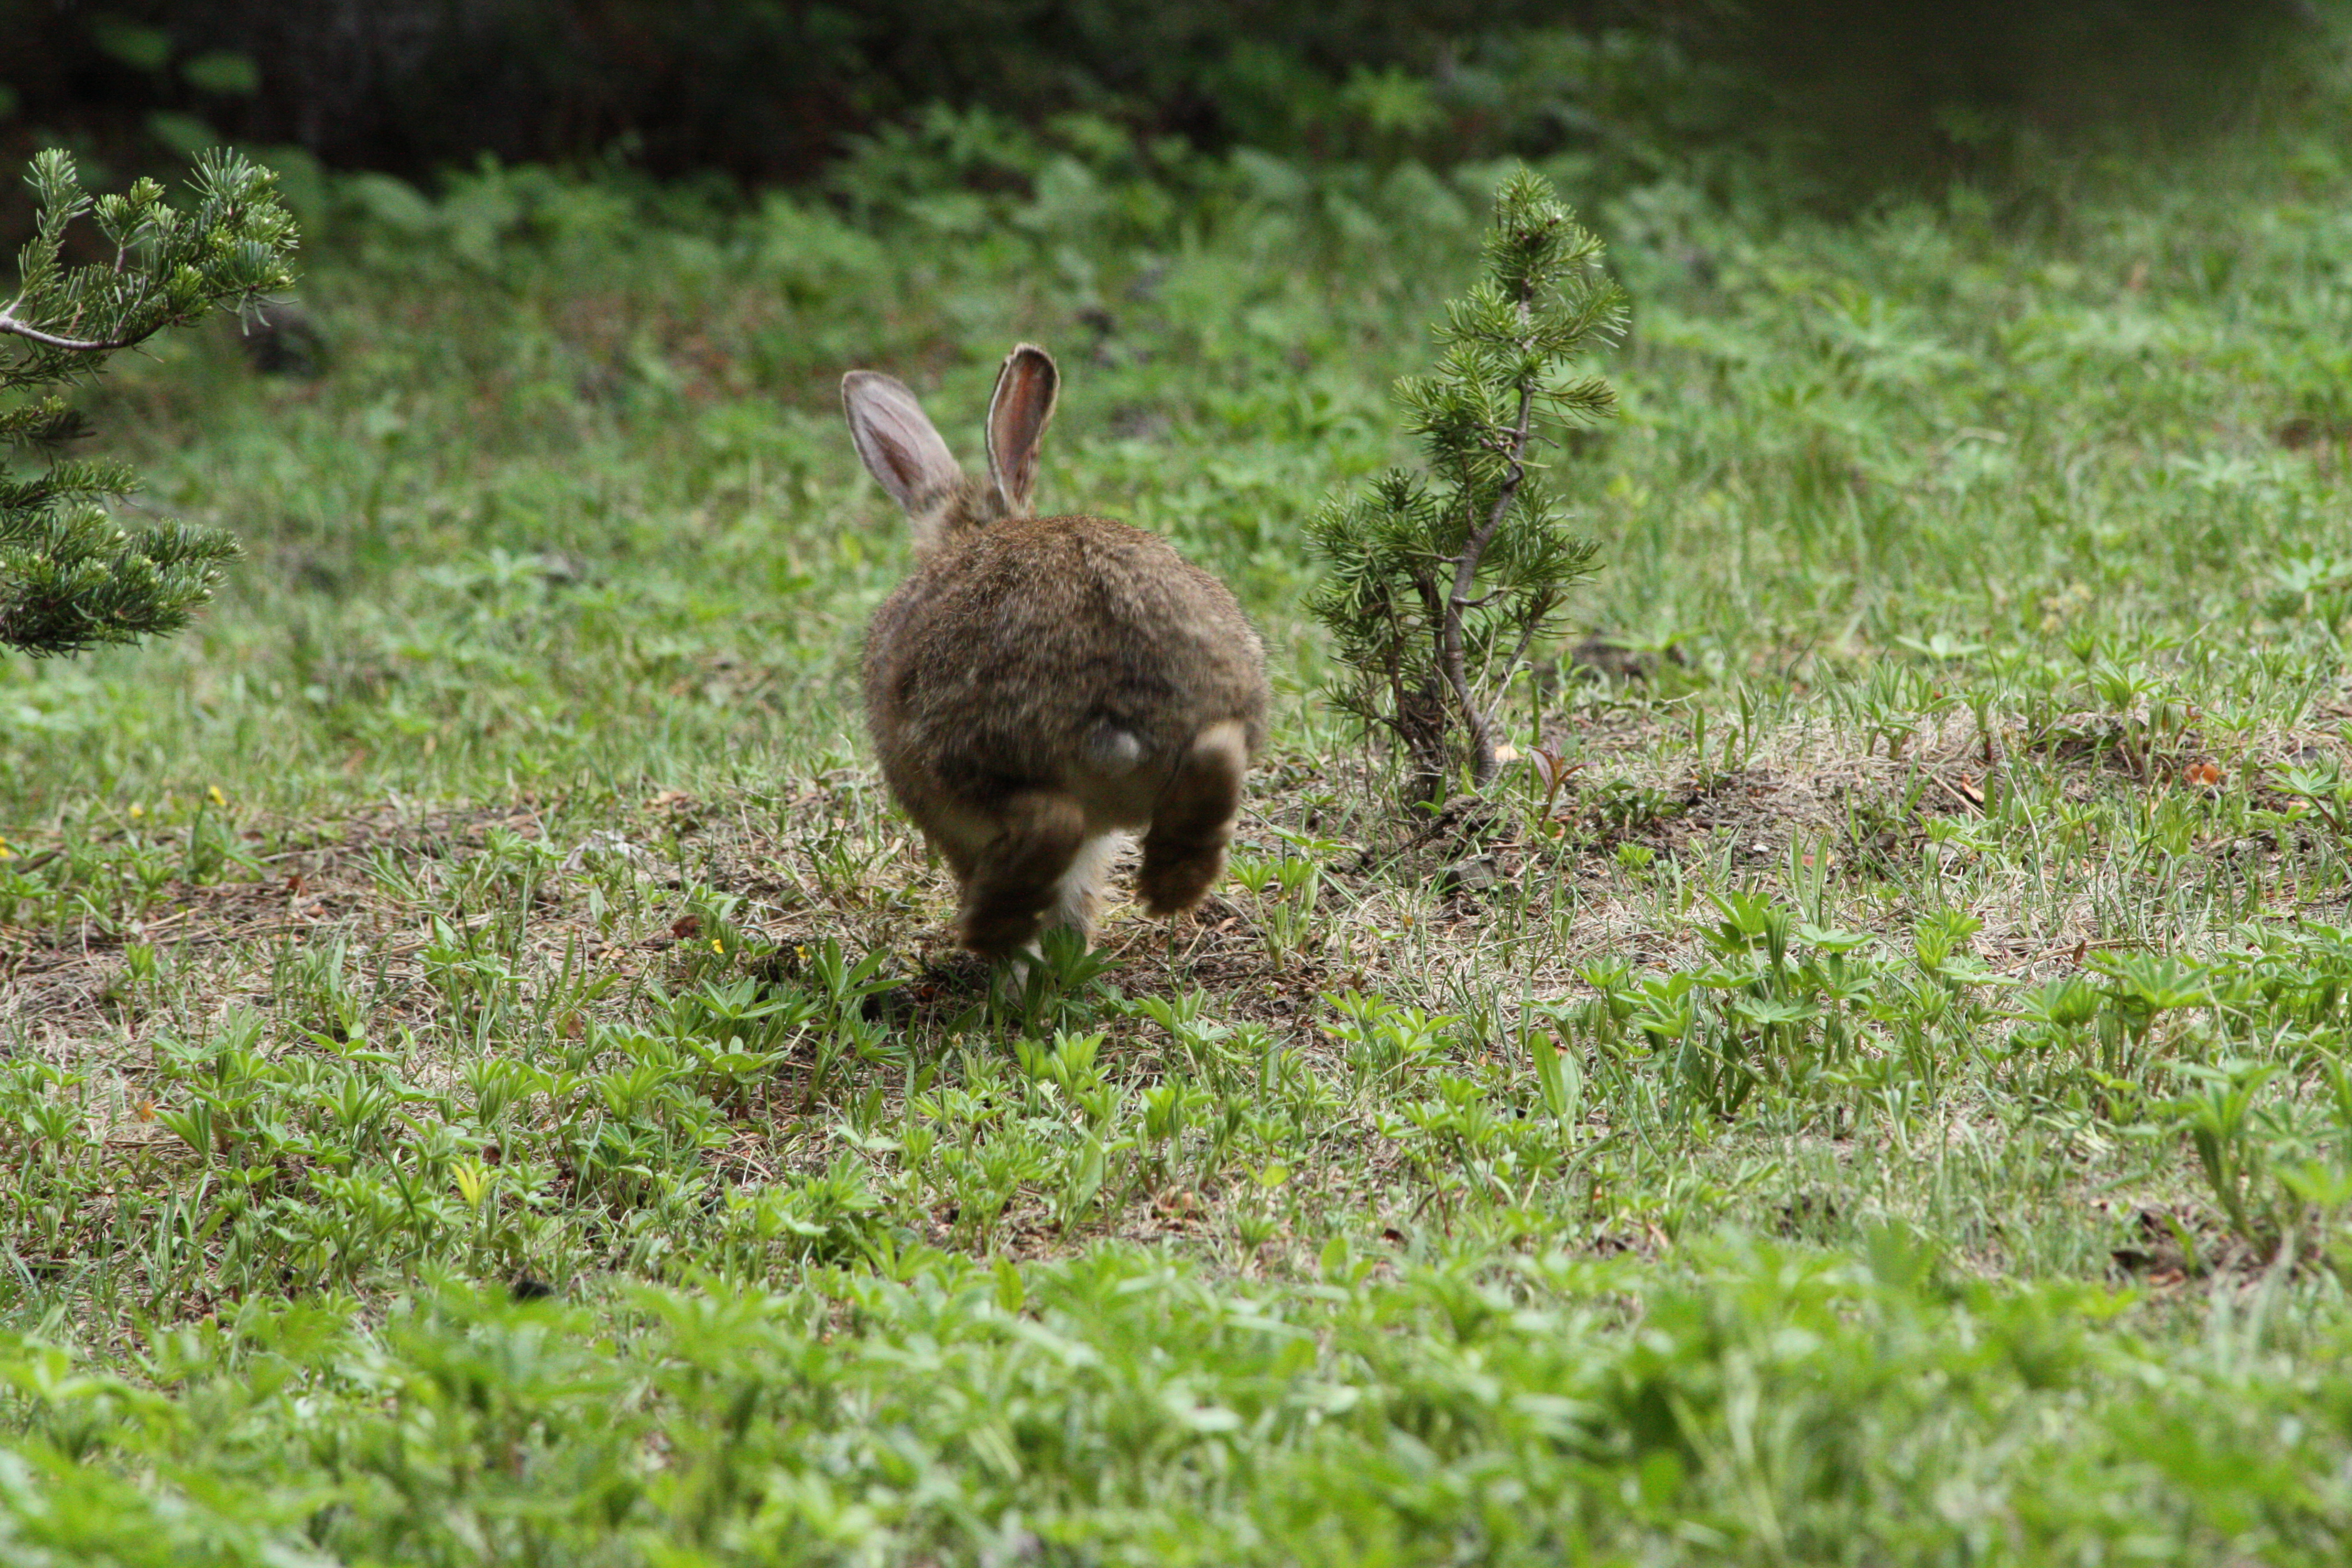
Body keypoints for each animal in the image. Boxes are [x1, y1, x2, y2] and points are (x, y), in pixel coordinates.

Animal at [837, 345, 1260, 959]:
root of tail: (1113, 717)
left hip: (961, 761)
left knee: (1045, 823)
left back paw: (991, 930)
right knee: (1216, 755)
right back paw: (1172, 884)